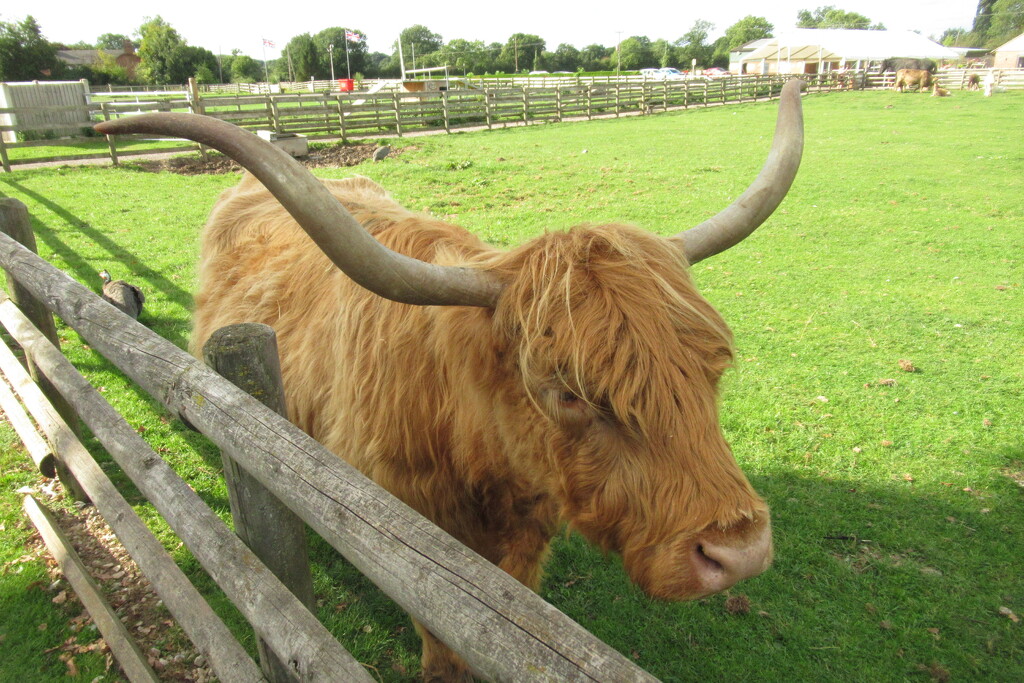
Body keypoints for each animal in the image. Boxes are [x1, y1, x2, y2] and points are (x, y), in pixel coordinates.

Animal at [92, 81, 802, 683]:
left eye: (714, 368)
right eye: (568, 392)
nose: (739, 551)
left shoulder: (526, 534)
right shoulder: (411, 544)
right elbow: (444, 648)